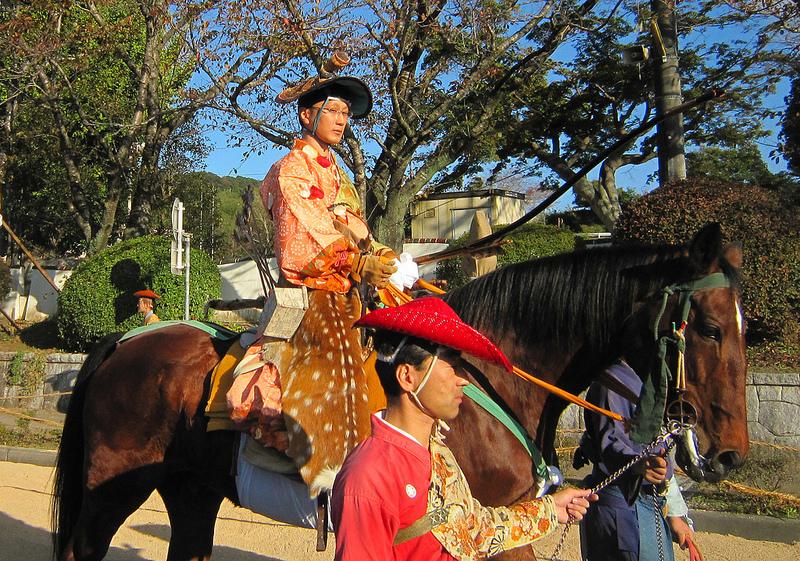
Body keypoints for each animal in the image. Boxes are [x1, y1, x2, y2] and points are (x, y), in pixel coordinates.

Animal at [53, 223, 748, 560]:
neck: (485, 377)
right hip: (113, 480)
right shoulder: (484, 523)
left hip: (190, 487)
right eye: (711, 328)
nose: (730, 452)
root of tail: (128, 340)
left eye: (747, 327)